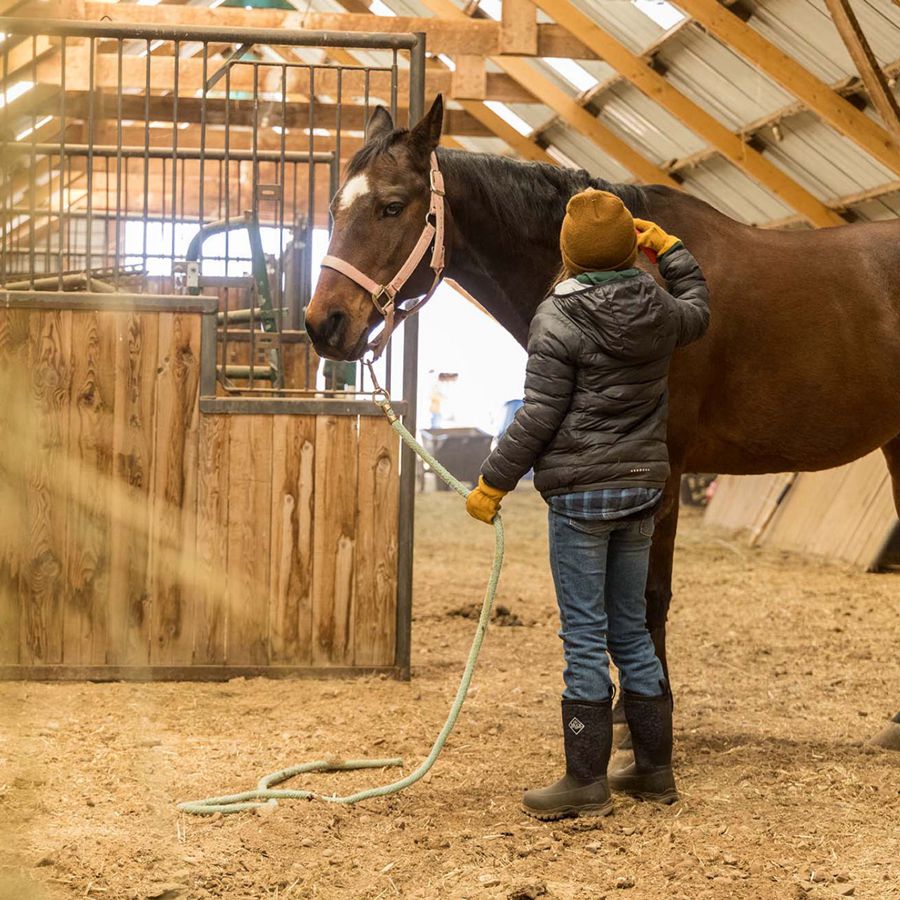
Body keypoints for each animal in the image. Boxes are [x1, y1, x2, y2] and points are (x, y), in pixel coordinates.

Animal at [304, 95, 900, 740]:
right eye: (335, 208)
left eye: (391, 207)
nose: (324, 324)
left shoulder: (661, 474)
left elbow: (646, 596)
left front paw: (639, 717)